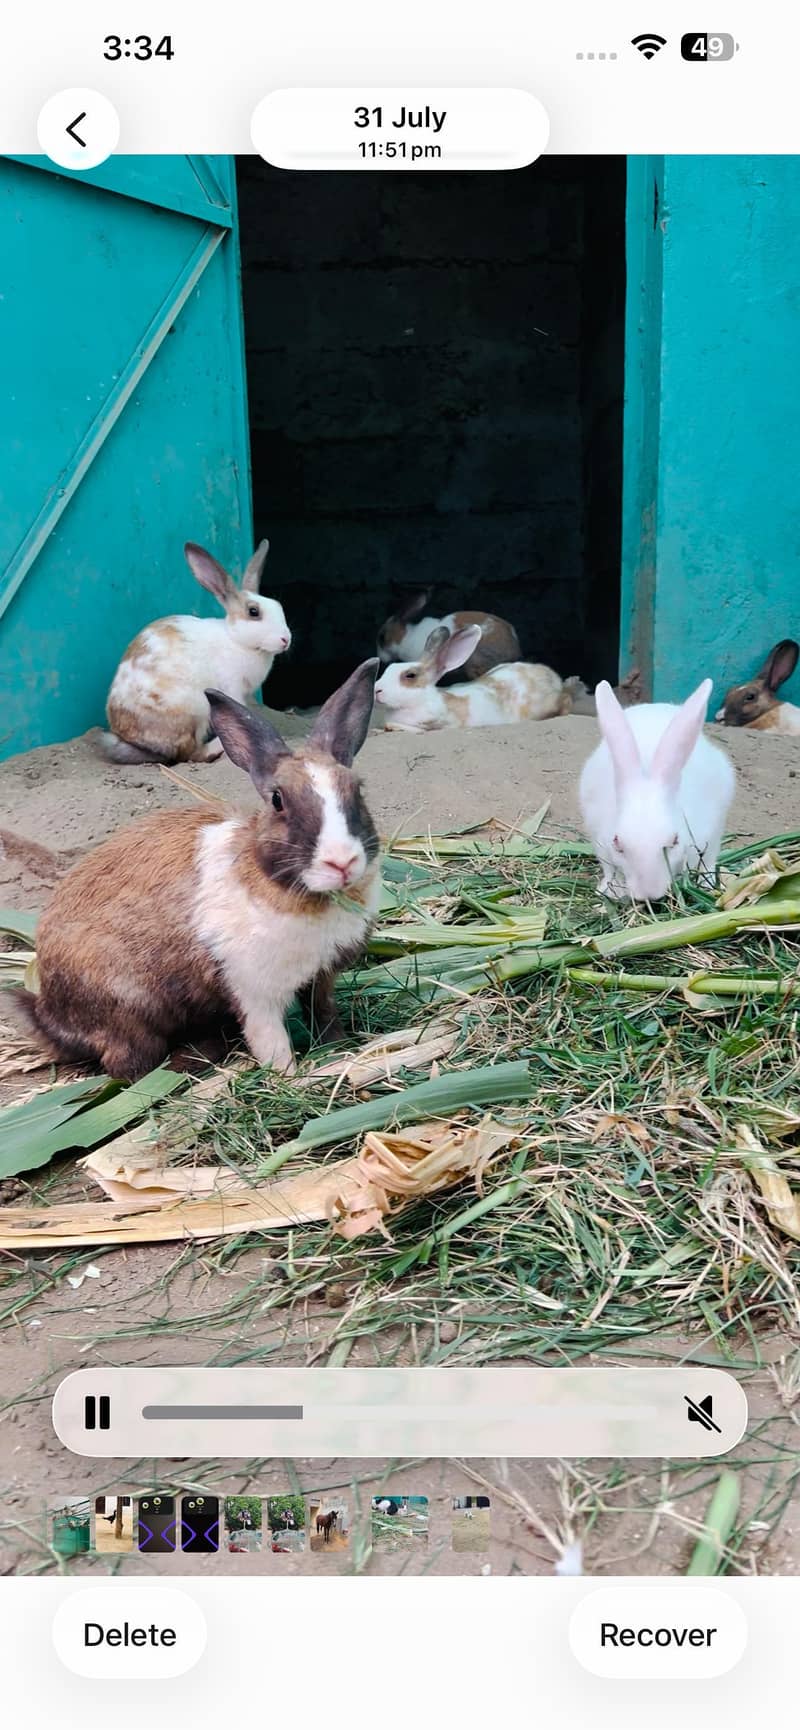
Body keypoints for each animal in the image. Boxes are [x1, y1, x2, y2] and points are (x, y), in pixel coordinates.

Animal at [26, 661, 381, 1081]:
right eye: (278, 800)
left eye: (357, 789)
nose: (341, 862)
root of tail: (48, 1009)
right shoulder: (253, 992)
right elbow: (272, 1042)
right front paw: (289, 1078)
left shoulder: (321, 978)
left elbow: (325, 1014)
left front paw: (340, 1051)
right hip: (129, 1016)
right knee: (128, 1067)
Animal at [102, 540, 291, 765]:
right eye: (254, 612)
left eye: (279, 606)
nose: (286, 639)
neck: (236, 640)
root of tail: (131, 738)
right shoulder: (232, 688)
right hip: (197, 709)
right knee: (189, 753)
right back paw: (216, 748)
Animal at [374, 625, 575, 732]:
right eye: (387, 669)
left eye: (410, 675)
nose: (376, 690)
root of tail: (551, 675)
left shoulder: (444, 724)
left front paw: (391, 726)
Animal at [579, 678, 736, 903]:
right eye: (617, 843)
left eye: (674, 841)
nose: (649, 894)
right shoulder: (601, 842)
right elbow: (610, 870)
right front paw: (609, 891)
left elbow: (702, 861)